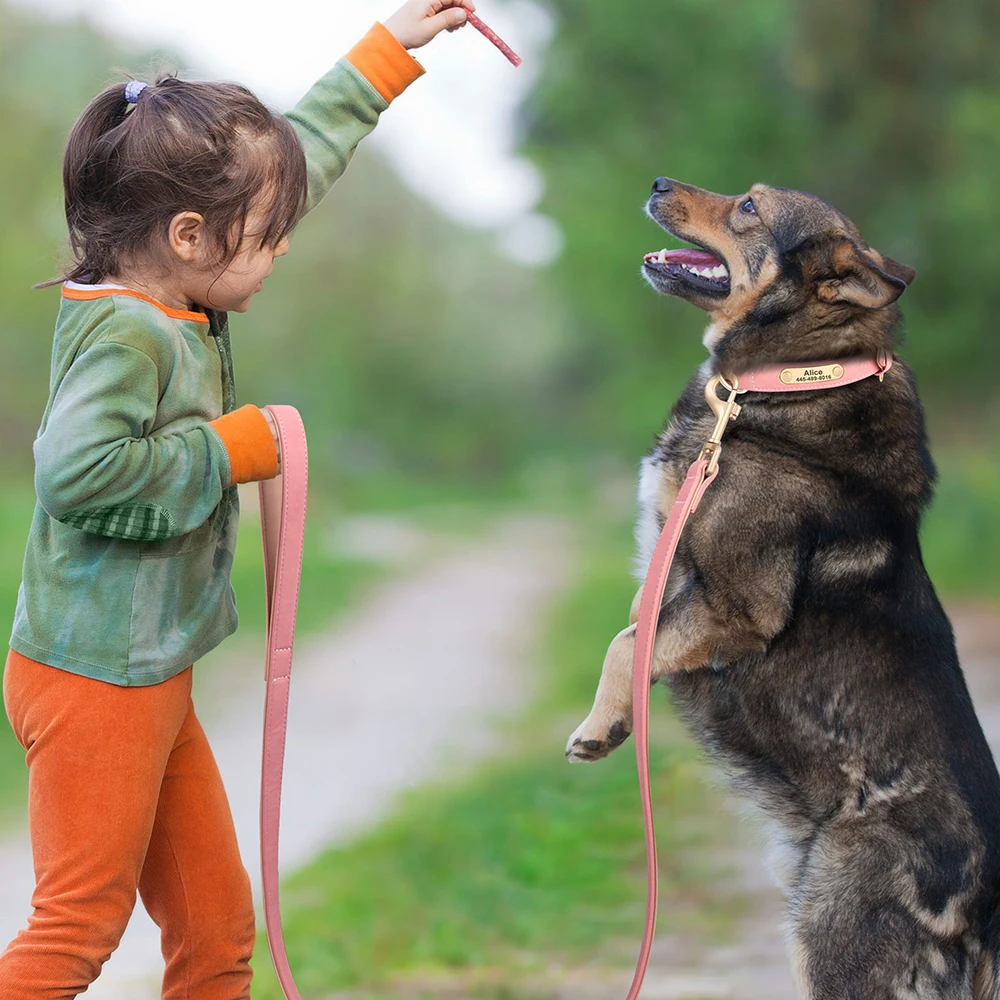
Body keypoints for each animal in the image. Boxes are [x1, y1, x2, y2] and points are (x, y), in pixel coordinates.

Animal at [568, 176, 1000, 996]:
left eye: (748, 208)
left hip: (832, 934)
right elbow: (635, 631)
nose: (659, 183)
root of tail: (986, 910)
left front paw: (601, 728)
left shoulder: (738, 605)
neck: (793, 376)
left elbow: (626, 642)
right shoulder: (676, 582)